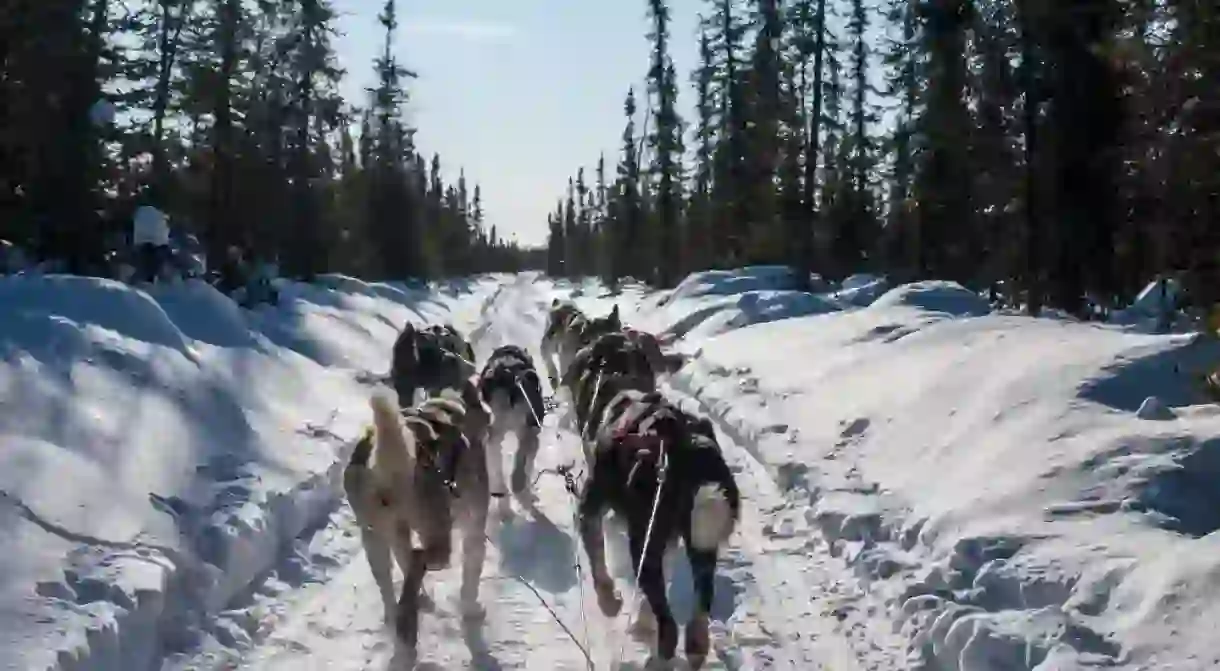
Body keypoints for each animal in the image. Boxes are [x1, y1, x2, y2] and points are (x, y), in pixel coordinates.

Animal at [575, 392, 736, 668]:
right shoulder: (668, 540)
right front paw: (641, 622)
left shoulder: (590, 510)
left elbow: (598, 565)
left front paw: (609, 602)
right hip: (698, 543)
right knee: (701, 603)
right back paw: (696, 645)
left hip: (643, 543)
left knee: (669, 628)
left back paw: (658, 657)